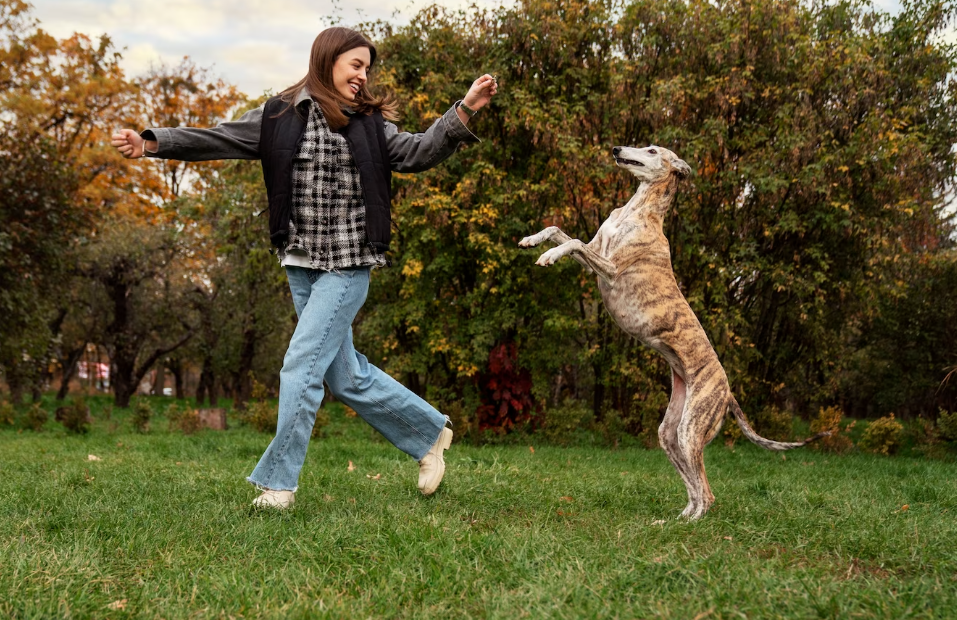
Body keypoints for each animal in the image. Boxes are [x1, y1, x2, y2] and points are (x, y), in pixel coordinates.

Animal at [520, 144, 824, 520]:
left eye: (652, 150)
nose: (617, 149)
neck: (637, 209)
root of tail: (728, 394)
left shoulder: (611, 268)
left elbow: (572, 240)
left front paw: (548, 255)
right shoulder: (596, 252)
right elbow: (558, 229)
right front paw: (532, 240)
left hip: (691, 429)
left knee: (706, 494)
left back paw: (686, 524)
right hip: (670, 433)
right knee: (694, 491)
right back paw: (670, 523)